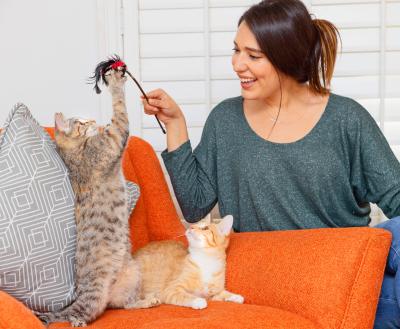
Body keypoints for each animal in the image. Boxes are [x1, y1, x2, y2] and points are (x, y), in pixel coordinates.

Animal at [38, 70, 145, 324]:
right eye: (81, 122)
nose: (94, 122)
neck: (73, 151)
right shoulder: (114, 137)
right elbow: (119, 110)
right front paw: (115, 82)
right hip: (93, 294)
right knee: (78, 313)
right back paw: (77, 321)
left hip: (133, 273)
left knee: (123, 304)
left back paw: (146, 301)